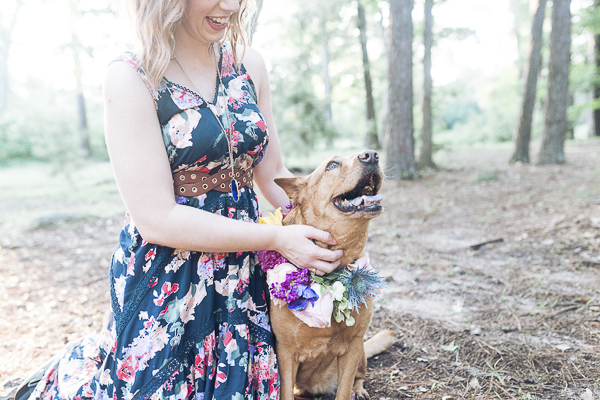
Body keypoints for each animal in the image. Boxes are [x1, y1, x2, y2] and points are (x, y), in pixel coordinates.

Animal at [272, 150, 384, 400]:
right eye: (332, 165)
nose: (372, 155)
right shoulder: (285, 354)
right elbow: (285, 392)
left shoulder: (353, 346)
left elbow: (344, 389)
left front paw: (352, 390)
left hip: (361, 353)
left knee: (360, 376)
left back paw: (359, 391)